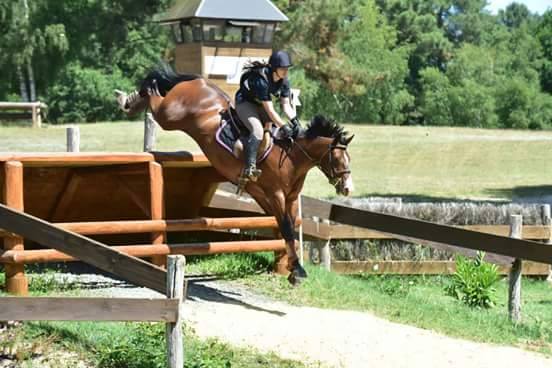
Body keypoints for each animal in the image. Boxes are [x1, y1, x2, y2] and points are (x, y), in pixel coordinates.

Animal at [116, 64, 354, 286]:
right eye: (338, 159)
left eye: (348, 159)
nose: (347, 188)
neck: (291, 156)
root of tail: (199, 81)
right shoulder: (275, 194)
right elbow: (286, 228)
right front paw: (298, 271)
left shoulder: (291, 198)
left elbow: (291, 228)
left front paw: (293, 269)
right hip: (170, 115)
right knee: (154, 94)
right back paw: (128, 98)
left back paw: (129, 102)